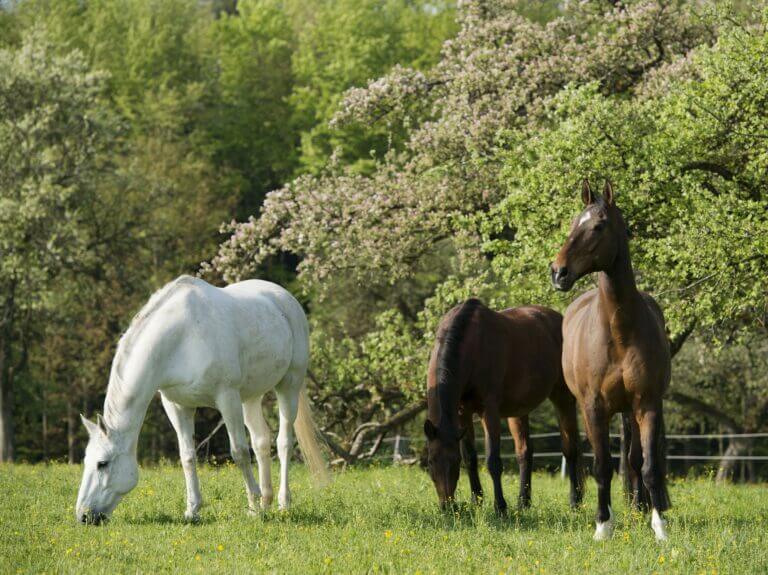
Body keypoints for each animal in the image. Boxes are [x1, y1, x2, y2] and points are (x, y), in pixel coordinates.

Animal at [76, 276, 328, 524]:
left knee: (283, 443)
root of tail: (285, 298)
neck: (182, 338)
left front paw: (253, 506)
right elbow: (187, 456)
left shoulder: (227, 397)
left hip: (289, 385)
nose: (83, 516)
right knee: (261, 441)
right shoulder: (178, 406)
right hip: (250, 397)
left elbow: (239, 452)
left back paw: (282, 504)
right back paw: (266, 502)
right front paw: (193, 510)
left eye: (102, 463)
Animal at [420, 300, 584, 516]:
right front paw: (476, 501)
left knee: (570, 449)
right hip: (519, 411)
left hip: (563, 397)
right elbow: (471, 457)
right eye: (430, 461)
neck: (471, 345)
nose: (448, 507)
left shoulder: (489, 412)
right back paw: (523, 503)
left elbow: (493, 461)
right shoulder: (463, 413)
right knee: (524, 451)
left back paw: (575, 502)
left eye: (454, 462)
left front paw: (500, 507)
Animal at [548, 182, 668, 544]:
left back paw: (640, 511)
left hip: (631, 411)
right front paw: (603, 526)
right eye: (573, 222)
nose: (558, 272)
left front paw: (660, 527)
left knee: (635, 460)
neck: (619, 332)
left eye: (598, 226)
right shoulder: (593, 407)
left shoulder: (647, 404)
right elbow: (601, 466)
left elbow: (648, 466)